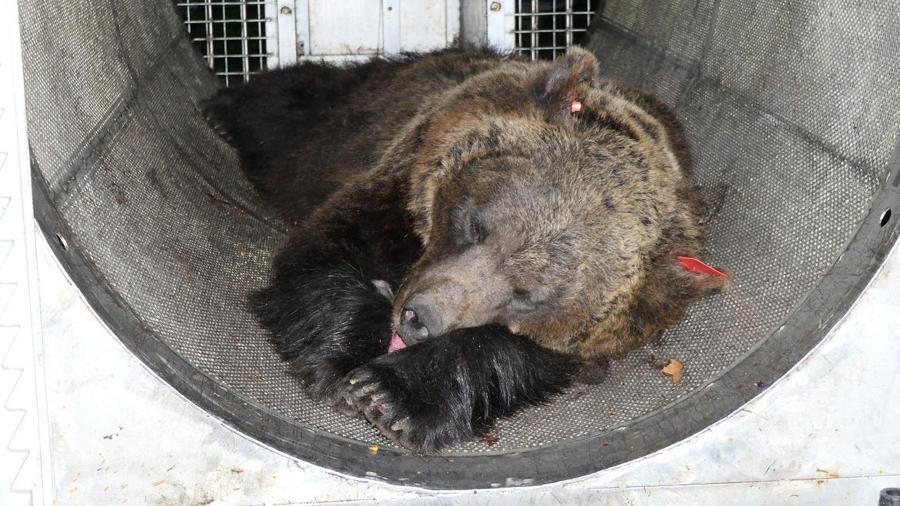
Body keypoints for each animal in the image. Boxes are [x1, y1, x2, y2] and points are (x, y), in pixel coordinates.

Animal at [202, 46, 724, 450]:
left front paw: (388, 393)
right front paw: (341, 362)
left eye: (527, 295)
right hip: (347, 120)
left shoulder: (608, 325)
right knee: (296, 109)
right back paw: (223, 109)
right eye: (476, 224)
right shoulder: (394, 184)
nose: (420, 318)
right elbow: (327, 253)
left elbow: (511, 354)